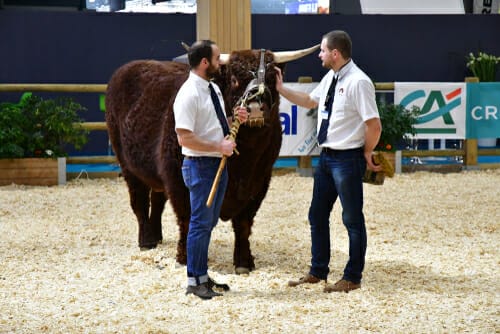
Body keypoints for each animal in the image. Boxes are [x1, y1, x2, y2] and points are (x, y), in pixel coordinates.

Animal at [106, 45, 318, 274]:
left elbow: (244, 224)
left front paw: (244, 261)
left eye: (272, 78)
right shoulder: (177, 181)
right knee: (140, 202)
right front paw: (185, 257)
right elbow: (187, 219)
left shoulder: (259, 182)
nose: (254, 108)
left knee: (157, 199)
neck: (244, 163)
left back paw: (157, 235)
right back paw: (146, 240)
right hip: (127, 165)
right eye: (234, 79)